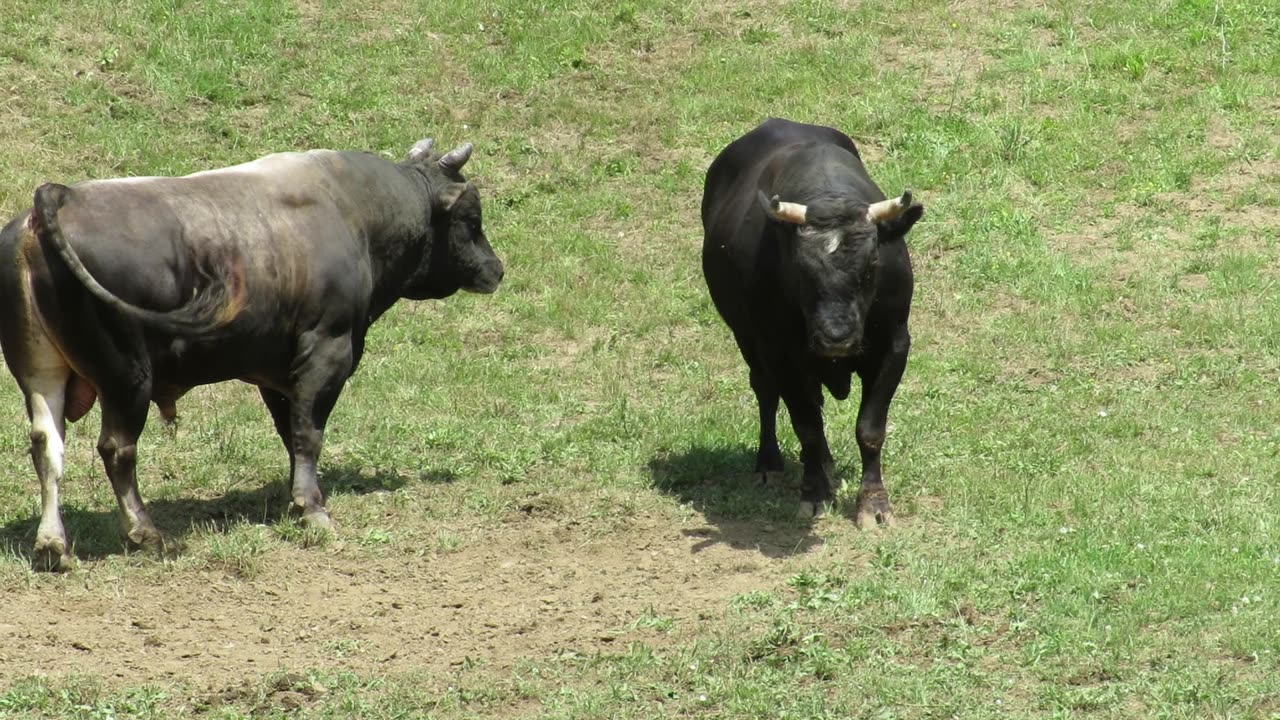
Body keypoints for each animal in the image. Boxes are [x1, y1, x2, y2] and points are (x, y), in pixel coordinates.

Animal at [0, 137, 501, 568]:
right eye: (470, 219)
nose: (497, 268)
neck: (354, 215)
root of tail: (59, 197)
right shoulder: (327, 351)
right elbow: (308, 432)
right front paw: (312, 508)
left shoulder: (277, 371)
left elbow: (290, 431)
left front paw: (298, 496)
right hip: (127, 376)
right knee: (116, 449)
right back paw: (148, 533)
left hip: (41, 374)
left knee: (47, 447)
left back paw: (53, 544)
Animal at [701, 117, 921, 520]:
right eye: (800, 269)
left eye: (873, 264)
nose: (836, 337)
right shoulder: (779, 352)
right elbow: (807, 427)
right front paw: (814, 493)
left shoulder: (894, 344)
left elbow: (869, 429)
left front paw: (873, 503)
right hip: (747, 338)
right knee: (766, 391)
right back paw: (769, 463)